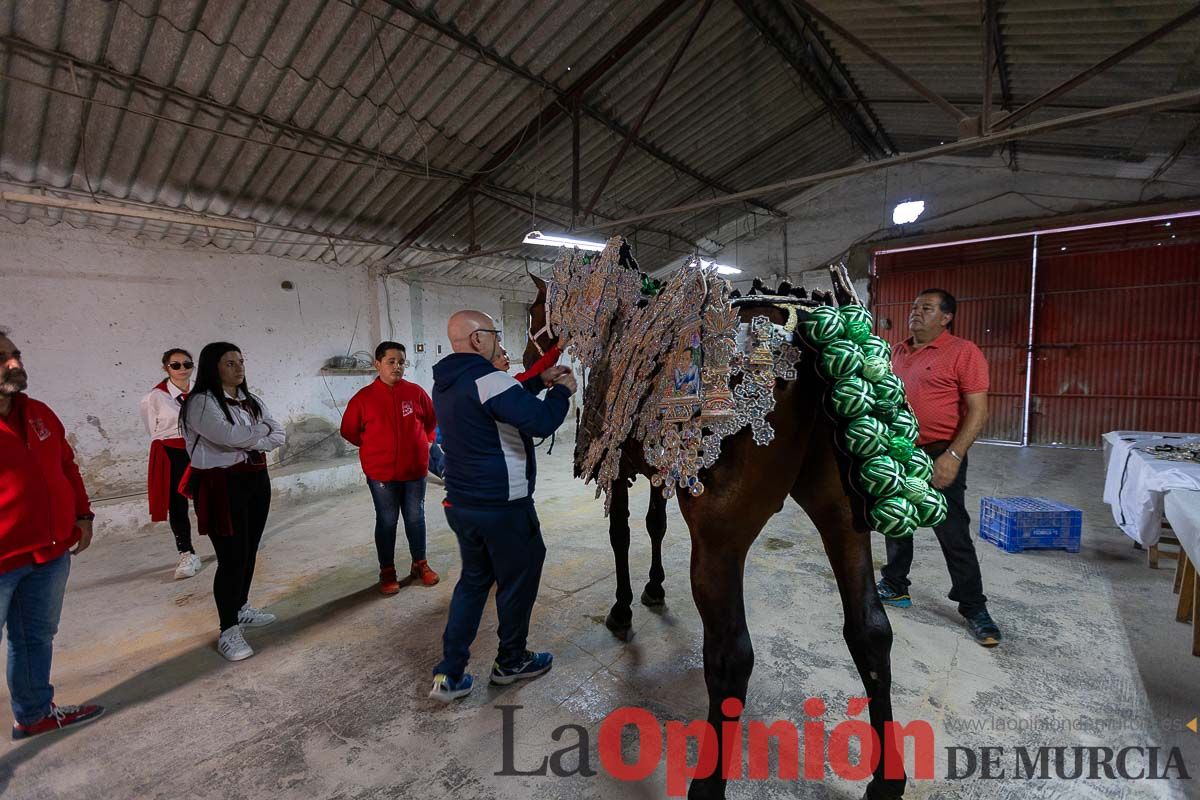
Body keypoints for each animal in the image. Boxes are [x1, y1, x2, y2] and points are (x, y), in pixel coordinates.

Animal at [520, 251, 902, 800]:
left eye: (533, 313)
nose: (524, 364)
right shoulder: (661, 465)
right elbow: (655, 525)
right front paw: (654, 588)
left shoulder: (621, 469)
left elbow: (622, 536)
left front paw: (623, 608)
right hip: (844, 518)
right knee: (870, 629)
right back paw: (886, 782)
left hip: (720, 542)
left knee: (730, 656)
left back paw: (705, 785)